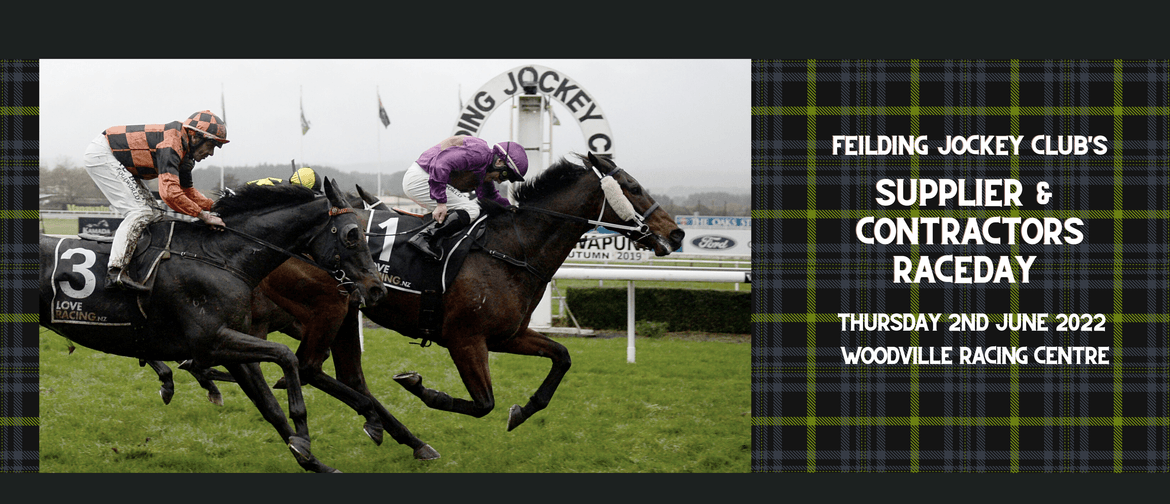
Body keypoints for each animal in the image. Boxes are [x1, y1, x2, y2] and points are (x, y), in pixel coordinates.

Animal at [36, 178, 381, 472]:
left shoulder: (232, 346)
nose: (376, 287)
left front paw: (312, 458)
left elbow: (269, 405)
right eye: (352, 233)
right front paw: (305, 433)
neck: (220, 258)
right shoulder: (212, 341)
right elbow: (286, 356)